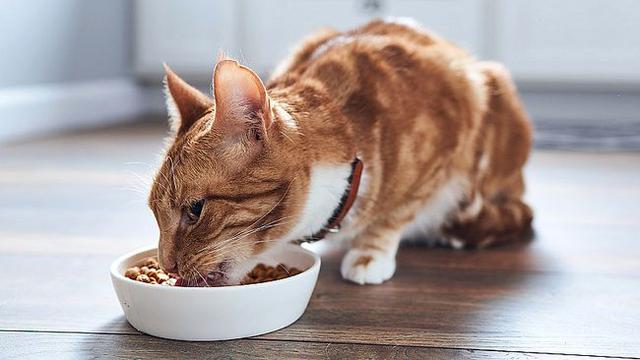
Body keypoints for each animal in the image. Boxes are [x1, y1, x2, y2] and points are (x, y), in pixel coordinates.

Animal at [148, 19, 532, 286]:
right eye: (154, 213)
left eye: (196, 209)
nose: (166, 265)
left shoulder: (454, 125)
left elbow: (396, 213)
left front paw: (369, 253)